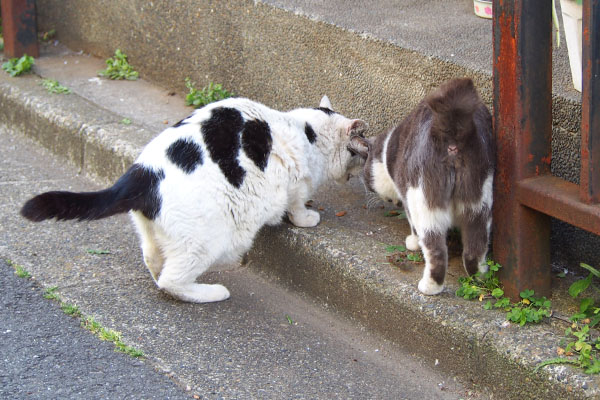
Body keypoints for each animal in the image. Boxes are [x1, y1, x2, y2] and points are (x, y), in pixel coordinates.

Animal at [21, 96, 368, 304]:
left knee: (153, 260)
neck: (306, 130)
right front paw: (307, 218)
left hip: (152, 232)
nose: (367, 154)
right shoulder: (296, 181)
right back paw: (209, 292)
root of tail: (142, 175)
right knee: (171, 281)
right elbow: (295, 205)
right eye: (362, 145)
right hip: (205, 242)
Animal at [350, 78, 494, 296]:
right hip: (478, 201)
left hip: (424, 200)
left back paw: (429, 287)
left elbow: (412, 224)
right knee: (475, 246)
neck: (386, 152)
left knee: (436, 250)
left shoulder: (408, 196)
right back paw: (479, 277)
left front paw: (412, 242)